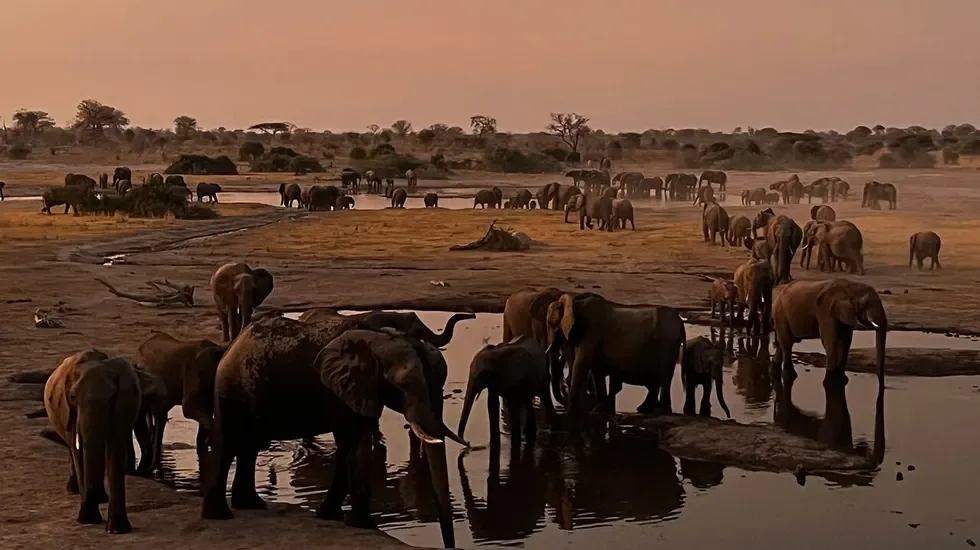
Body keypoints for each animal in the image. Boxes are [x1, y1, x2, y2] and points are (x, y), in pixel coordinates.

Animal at [44, 350, 143, 533]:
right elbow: (79, 450)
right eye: (73, 396)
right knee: (73, 449)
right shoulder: (70, 411)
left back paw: (101, 498)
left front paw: (117, 530)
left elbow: (115, 448)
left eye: (112, 398)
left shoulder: (122, 406)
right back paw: (76, 490)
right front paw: (88, 520)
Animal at [199, 317, 465, 548]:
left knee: (250, 446)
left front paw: (342, 519)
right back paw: (219, 515)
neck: (379, 338)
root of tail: (233, 344)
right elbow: (352, 444)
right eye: (403, 385)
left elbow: (355, 445)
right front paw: (356, 523)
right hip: (231, 386)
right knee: (228, 442)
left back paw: (250, 505)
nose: (450, 547)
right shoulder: (338, 391)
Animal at [545, 293, 686, 414]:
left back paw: (660, 411)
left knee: (664, 377)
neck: (575, 303)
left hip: (668, 343)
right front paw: (598, 411)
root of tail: (680, 323)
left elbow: (582, 363)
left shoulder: (591, 331)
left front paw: (571, 413)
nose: (563, 406)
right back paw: (644, 409)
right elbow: (596, 369)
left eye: (551, 323)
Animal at [770, 278, 886, 464]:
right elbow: (830, 340)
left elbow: (846, 341)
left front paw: (842, 380)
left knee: (783, 343)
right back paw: (790, 375)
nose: (882, 388)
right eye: (865, 304)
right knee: (787, 343)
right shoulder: (826, 311)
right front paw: (831, 382)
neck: (851, 287)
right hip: (780, 313)